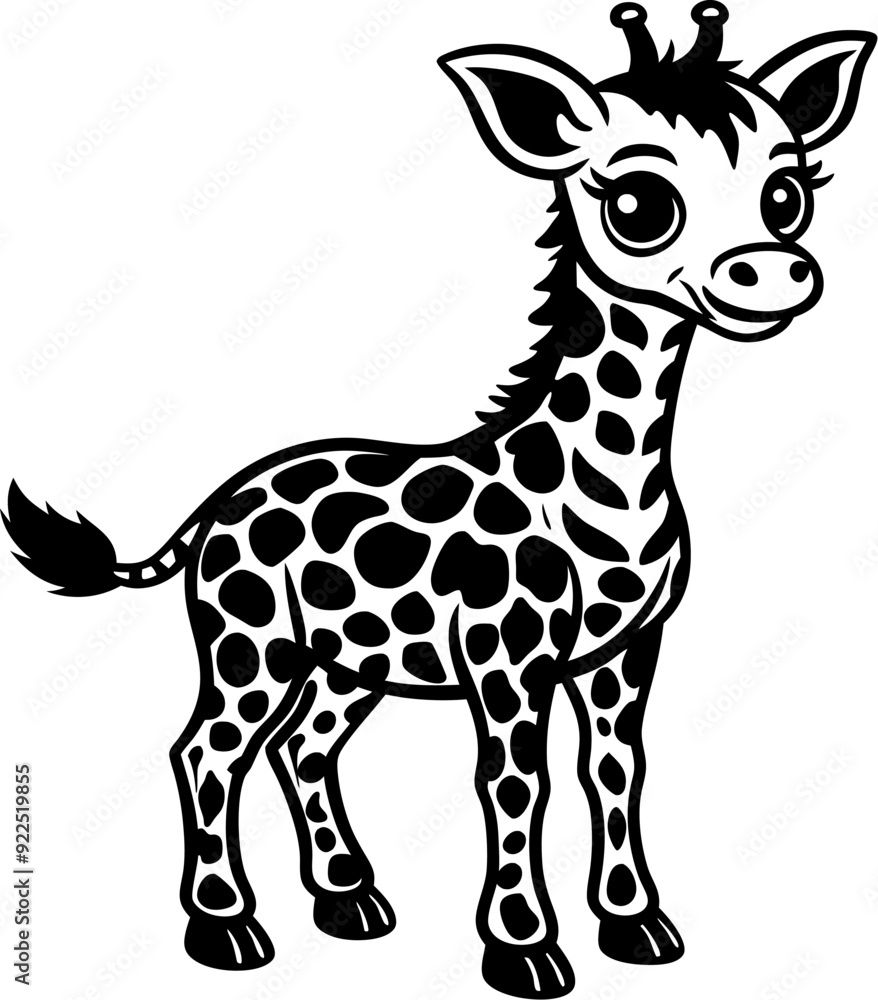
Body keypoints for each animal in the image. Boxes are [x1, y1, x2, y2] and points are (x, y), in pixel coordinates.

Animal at [5, 5, 874, 997]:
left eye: (787, 191)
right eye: (639, 204)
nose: (773, 273)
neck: (608, 483)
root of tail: (217, 505)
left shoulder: (628, 650)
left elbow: (615, 769)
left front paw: (635, 922)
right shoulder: (508, 656)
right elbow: (515, 781)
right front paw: (524, 947)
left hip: (348, 661)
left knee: (303, 748)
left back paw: (348, 900)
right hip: (250, 642)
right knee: (210, 749)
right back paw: (226, 927)